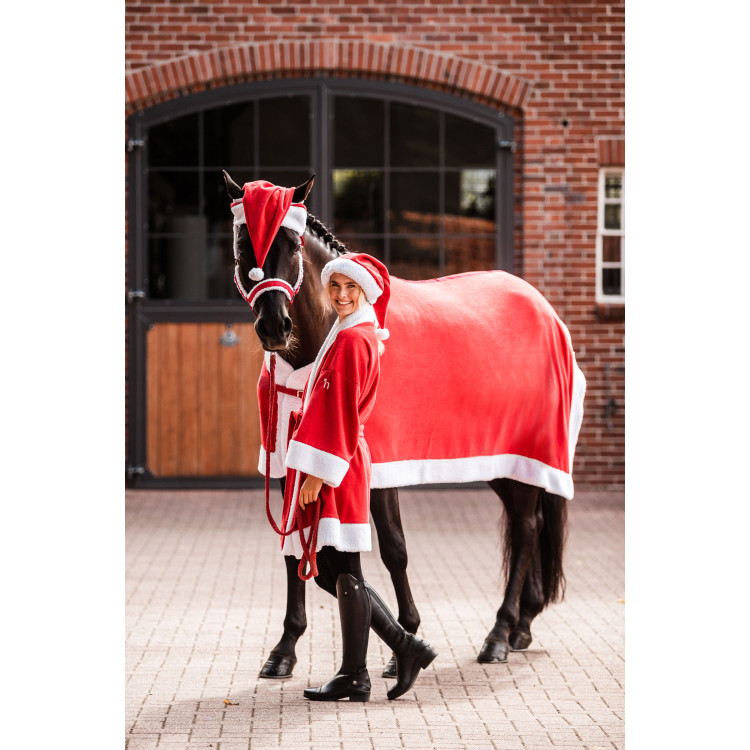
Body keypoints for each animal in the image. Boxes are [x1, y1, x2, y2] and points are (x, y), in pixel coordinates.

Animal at [226, 173, 572, 680]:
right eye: (241, 244)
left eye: (292, 244)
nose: (275, 326)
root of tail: (543, 307)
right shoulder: (290, 460)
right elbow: (295, 551)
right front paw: (285, 649)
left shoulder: (375, 466)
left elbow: (393, 550)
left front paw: (405, 640)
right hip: (501, 462)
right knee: (528, 524)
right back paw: (522, 626)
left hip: (528, 452)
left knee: (527, 527)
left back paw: (499, 634)